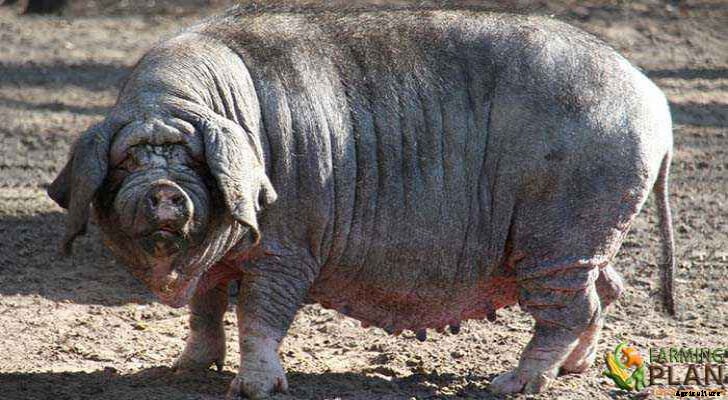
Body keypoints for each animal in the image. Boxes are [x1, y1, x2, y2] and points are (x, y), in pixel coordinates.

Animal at [48, 7, 676, 399]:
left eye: (191, 160)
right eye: (127, 161)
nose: (164, 190)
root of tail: (655, 101)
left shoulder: (290, 242)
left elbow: (260, 312)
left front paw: (251, 389)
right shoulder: (222, 254)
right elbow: (205, 305)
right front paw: (184, 369)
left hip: (562, 232)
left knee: (570, 307)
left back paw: (511, 385)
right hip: (587, 237)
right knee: (607, 289)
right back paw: (575, 369)